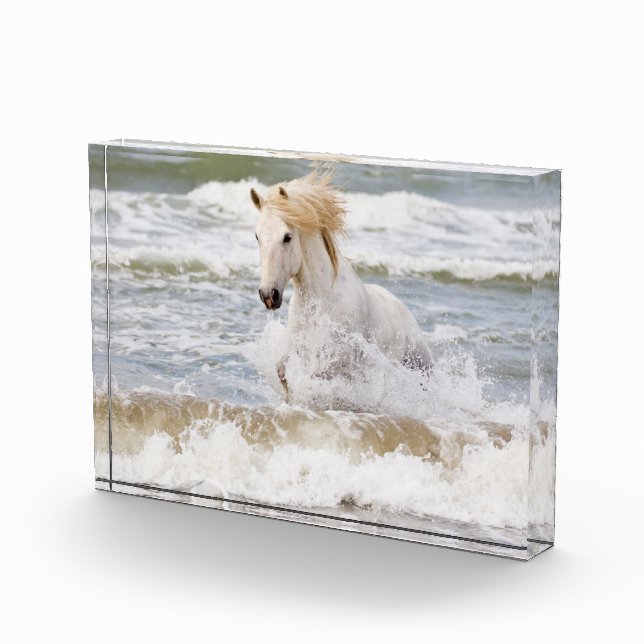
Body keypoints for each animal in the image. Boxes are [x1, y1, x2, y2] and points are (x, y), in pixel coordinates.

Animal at [250, 170, 433, 401]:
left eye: (287, 237)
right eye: (257, 236)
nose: (268, 295)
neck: (323, 299)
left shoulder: (340, 360)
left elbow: (318, 378)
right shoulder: (299, 346)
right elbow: (282, 371)